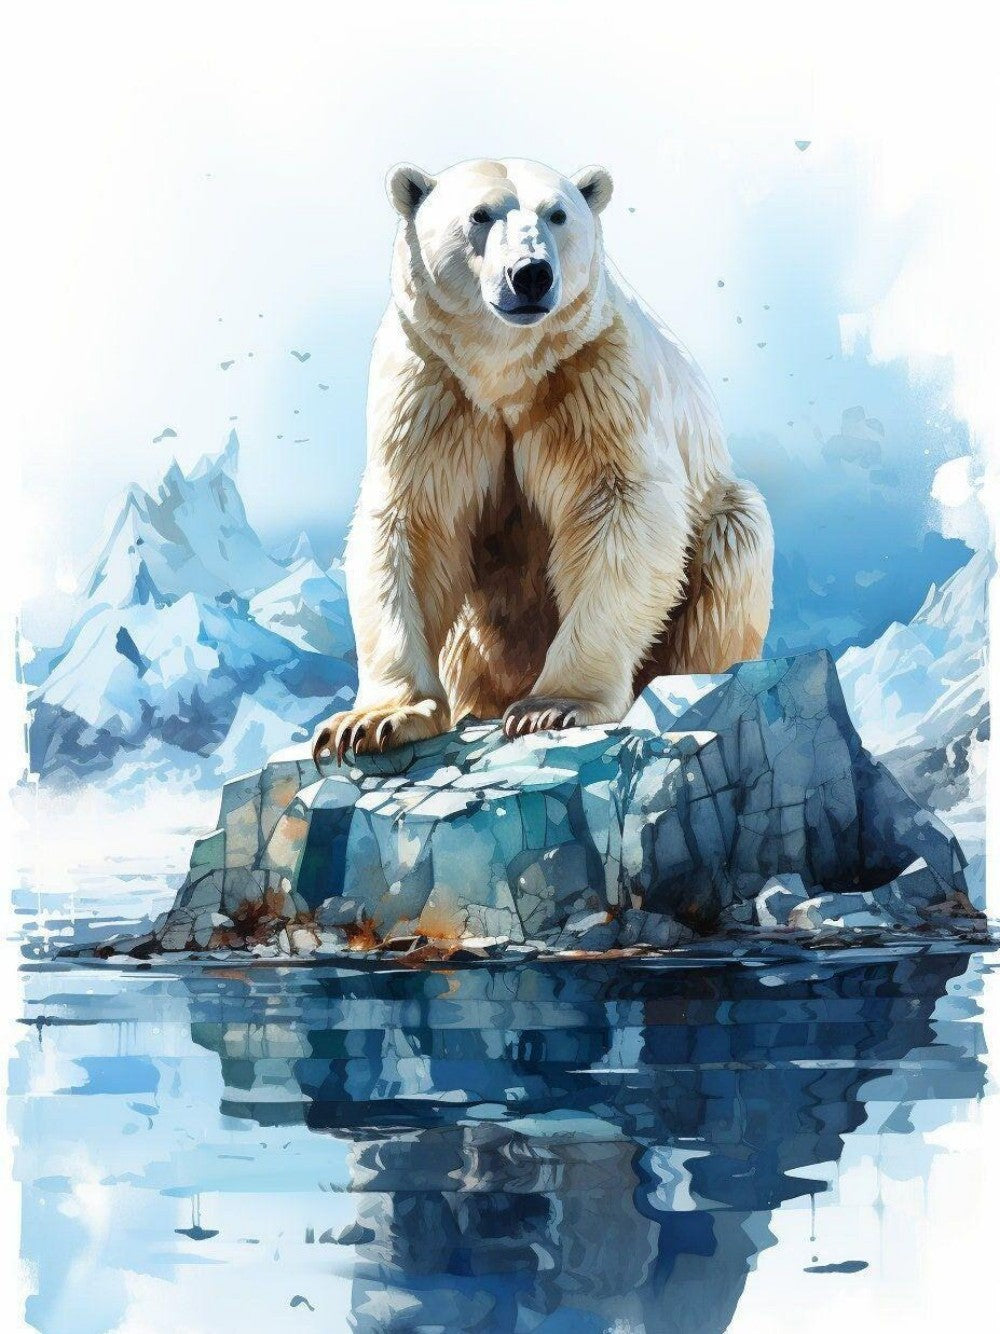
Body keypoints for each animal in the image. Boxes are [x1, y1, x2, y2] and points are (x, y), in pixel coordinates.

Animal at [313, 158, 773, 765]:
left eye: (557, 214)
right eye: (480, 215)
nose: (530, 274)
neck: (505, 373)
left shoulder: (594, 375)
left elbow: (619, 510)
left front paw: (552, 705)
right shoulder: (431, 388)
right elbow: (414, 524)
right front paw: (372, 721)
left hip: (720, 525)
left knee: (734, 540)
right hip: (478, 647)